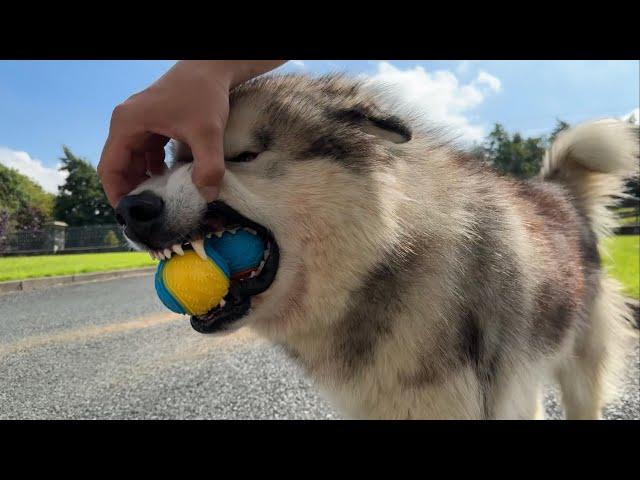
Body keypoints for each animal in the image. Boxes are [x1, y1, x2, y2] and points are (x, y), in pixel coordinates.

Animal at [116, 73, 640, 418]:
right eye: (175, 159)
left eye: (242, 156)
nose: (128, 209)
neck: (383, 260)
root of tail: (558, 193)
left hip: (574, 373)